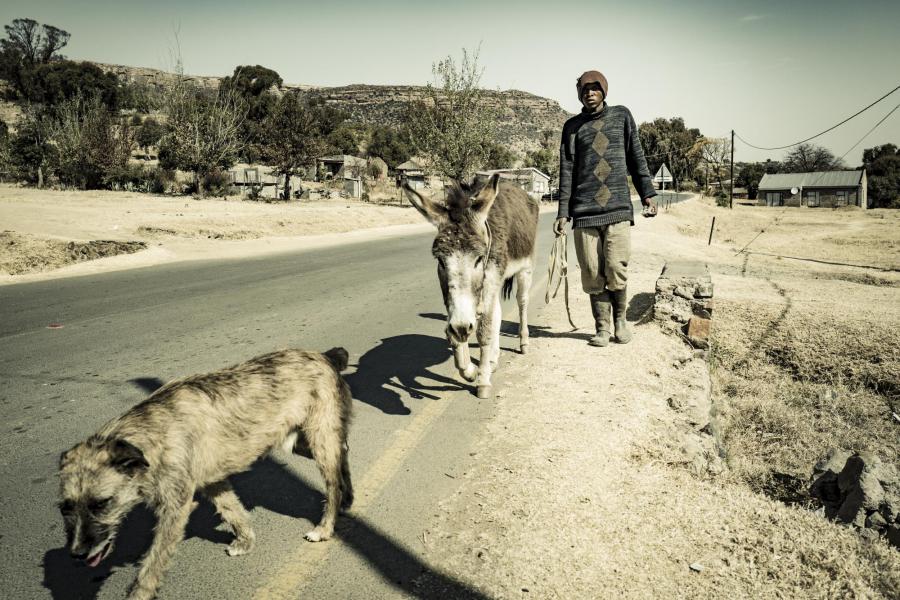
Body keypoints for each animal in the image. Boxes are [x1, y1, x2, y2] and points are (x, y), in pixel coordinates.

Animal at [57, 346, 356, 600]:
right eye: (65, 507)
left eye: (101, 503)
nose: (77, 554)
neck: (151, 432)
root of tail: (324, 356)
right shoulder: (212, 482)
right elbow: (232, 510)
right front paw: (245, 540)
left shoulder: (175, 508)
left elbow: (153, 562)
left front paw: (140, 593)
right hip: (299, 441)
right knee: (343, 451)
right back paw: (348, 498)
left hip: (319, 438)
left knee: (332, 482)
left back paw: (325, 525)